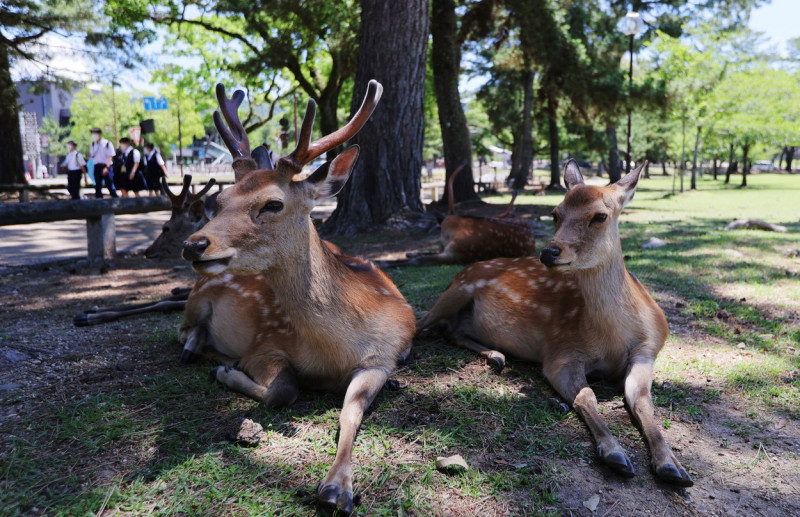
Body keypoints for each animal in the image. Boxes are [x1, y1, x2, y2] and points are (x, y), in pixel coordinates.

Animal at [179, 78, 416, 510]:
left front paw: (337, 488)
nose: (193, 245)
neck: (334, 351)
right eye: (220, 200)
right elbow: (283, 390)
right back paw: (199, 350)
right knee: (185, 329)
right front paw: (227, 372)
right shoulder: (264, 344)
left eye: (273, 203)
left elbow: (350, 412)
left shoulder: (383, 357)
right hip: (196, 299)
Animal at [418, 160, 692, 488]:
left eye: (600, 216)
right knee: (423, 324)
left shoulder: (647, 351)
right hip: (458, 289)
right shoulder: (561, 353)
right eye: (555, 213)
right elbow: (586, 396)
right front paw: (615, 453)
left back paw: (497, 356)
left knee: (452, 330)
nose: (549, 251)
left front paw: (672, 465)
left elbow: (643, 402)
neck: (613, 338)